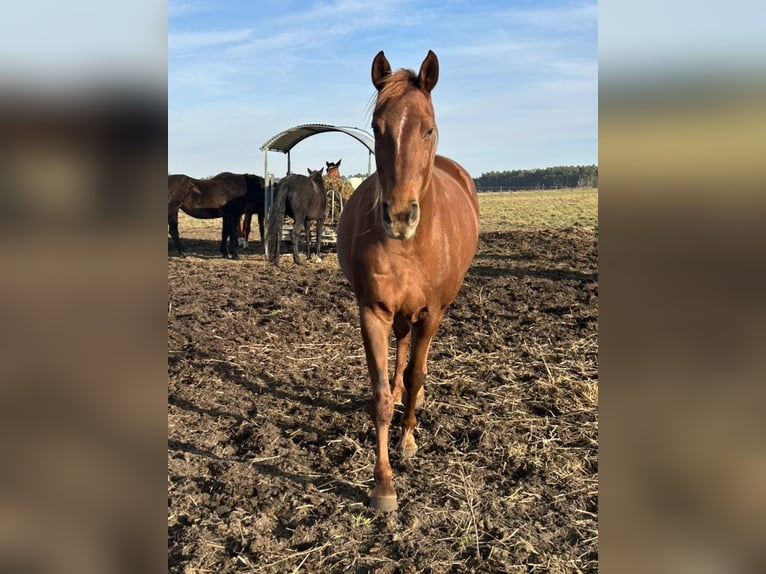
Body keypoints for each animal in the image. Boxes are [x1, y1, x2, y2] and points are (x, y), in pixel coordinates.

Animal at [336, 50, 479, 511]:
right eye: (377, 128)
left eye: (427, 128)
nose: (399, 216)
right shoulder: (373, 313)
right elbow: (381, 395)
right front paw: (383, 484)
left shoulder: (431, 312)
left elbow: (416, 375)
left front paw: (409, 440)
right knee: (400, 347)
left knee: (417, 361)